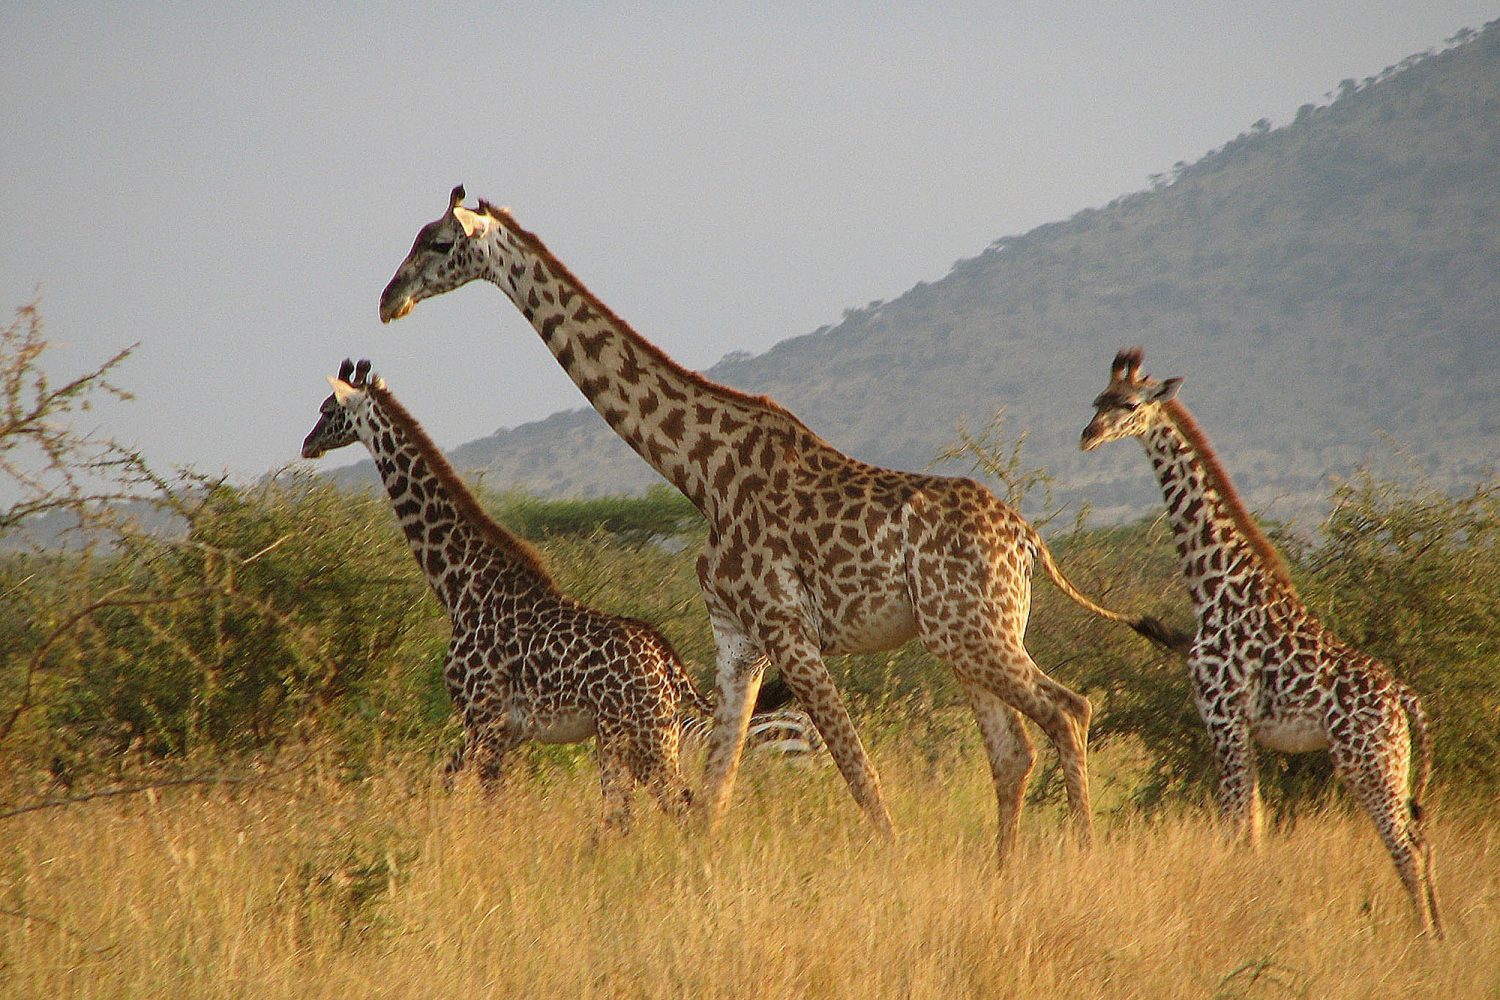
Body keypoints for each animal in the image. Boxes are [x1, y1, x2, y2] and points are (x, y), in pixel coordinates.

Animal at [298, 358, 798, 827]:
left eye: (327, 409)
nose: (307, 444)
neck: (461, 587)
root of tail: (672, 667)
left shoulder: (485, 719)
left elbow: (490, 807)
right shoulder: (491, 728)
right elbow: (445, 784)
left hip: (638, 735)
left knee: (664, 808)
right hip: (638, 736)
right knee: (640, 812)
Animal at [378, 185, 1182, 863]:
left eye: (440, 242)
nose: (390, 299)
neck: (699, 471)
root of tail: (1028, 539)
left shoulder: (789, 629)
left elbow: (859, 773)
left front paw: (892, 867)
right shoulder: (737, 639)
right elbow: (712, 793)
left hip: (974, 632)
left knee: (1069, 710)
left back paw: (1081, 861)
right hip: (962, 636)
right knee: (1014, 749)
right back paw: (1004, 874)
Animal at [1080, 347, 1440, 935]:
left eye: (1128, 405)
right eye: (1096, 400)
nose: (1087, 435)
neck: (1214, 586)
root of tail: (1403, 698)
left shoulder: (1222, 717)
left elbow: (1235, 829)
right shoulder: (1244, 728)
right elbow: (1254, 828)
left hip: (1367, 760)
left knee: (1406, 844)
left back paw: (1427, 939)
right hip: (1391, 760)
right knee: (1421, 839)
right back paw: (1440, 932)